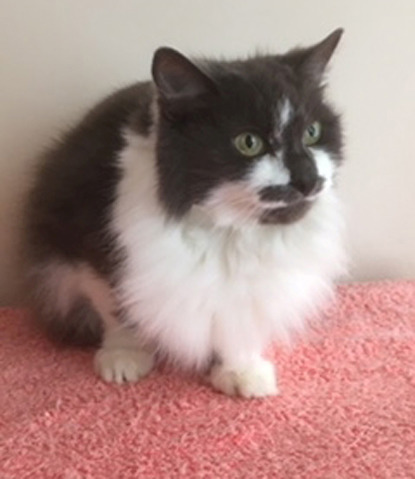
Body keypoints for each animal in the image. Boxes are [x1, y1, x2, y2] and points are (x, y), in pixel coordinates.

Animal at [22, 29, 348, 398]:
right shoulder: (91, 248)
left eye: (312, 133)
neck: (231, 231)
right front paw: (125, 356)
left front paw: (241, 371)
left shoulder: (248, 292)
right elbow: (116, 306)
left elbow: (237, 325)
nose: (308, 179)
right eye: (249, 143)